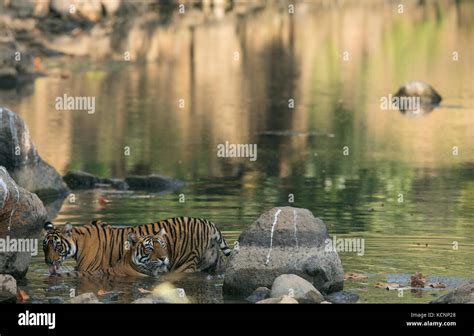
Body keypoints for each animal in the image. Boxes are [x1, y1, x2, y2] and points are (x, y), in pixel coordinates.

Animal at [43, 217, 232, 274]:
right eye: (45, 247)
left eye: (58, 247)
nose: (48, 262)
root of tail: (208, 223)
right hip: (213, 263)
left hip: (184, 264)